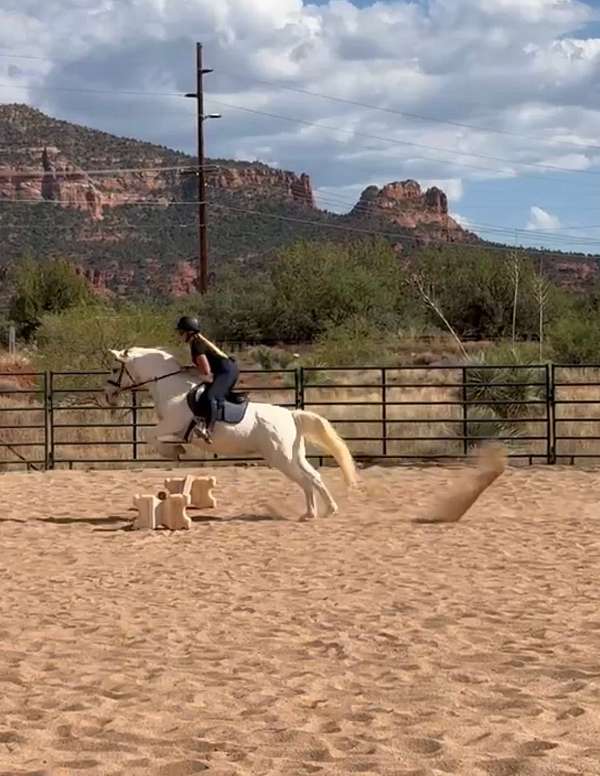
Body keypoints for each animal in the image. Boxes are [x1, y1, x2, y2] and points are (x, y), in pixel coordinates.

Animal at [102, 348, 356, 520]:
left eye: (115, 369)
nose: (107, 394)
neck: (172, 389)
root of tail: (291, 415)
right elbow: (154, 437)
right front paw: (176, 448)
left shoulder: (170, 425)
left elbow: (151, 436)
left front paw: (174, 450)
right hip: (294, 455)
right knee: (313, 477)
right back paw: (325, 510)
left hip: (281, 458)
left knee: (305, 480)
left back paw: (313, 513)